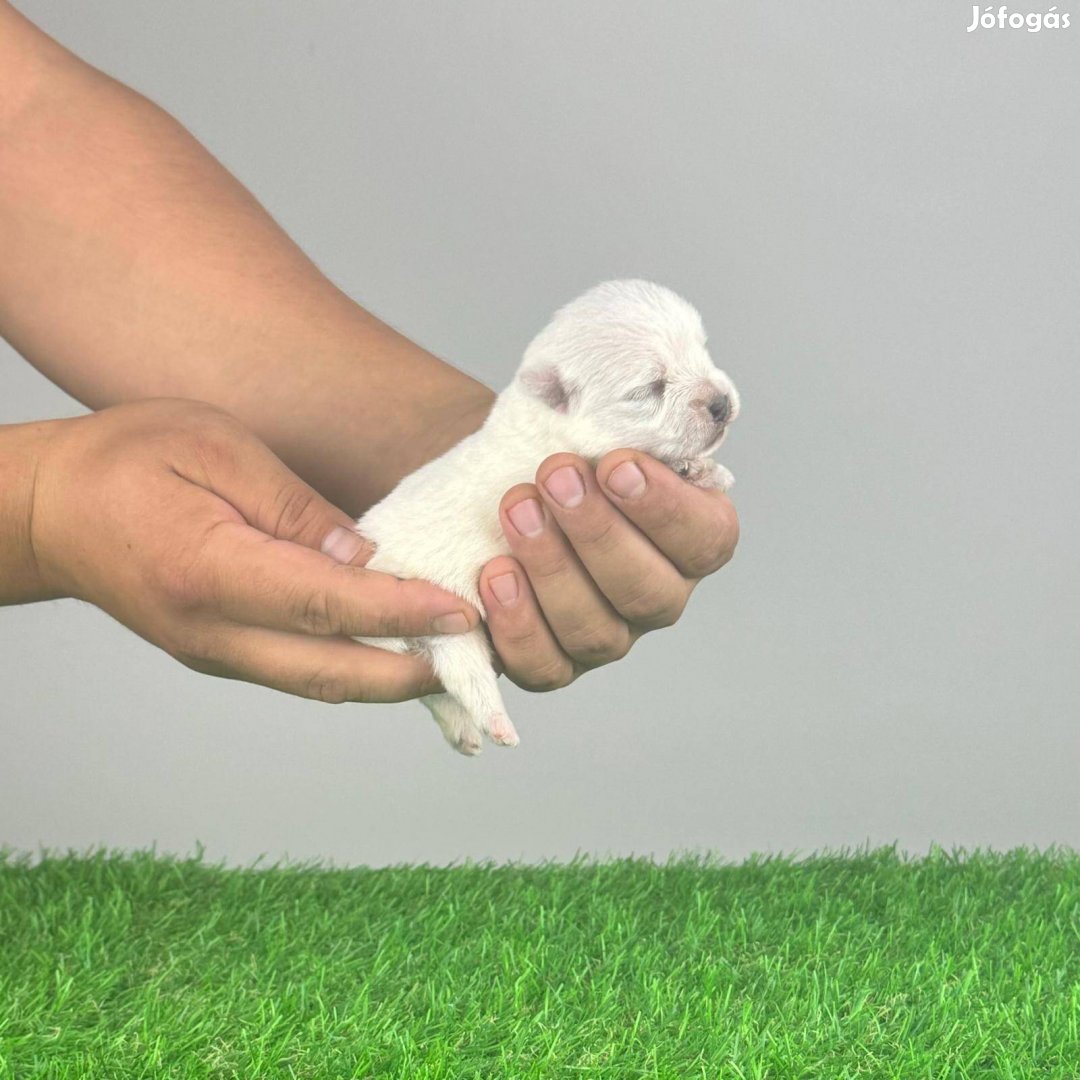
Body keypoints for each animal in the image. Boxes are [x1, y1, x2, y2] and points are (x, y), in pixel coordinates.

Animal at [358, 274, 738, 756]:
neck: (543, 419)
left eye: (702, 349)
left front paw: (704, 469)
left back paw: (466, 733)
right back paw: (497, 725)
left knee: (442, 686)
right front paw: (701, 470)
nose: (721, 404)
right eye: (650, 387)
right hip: (445, 616)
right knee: (467, 678)